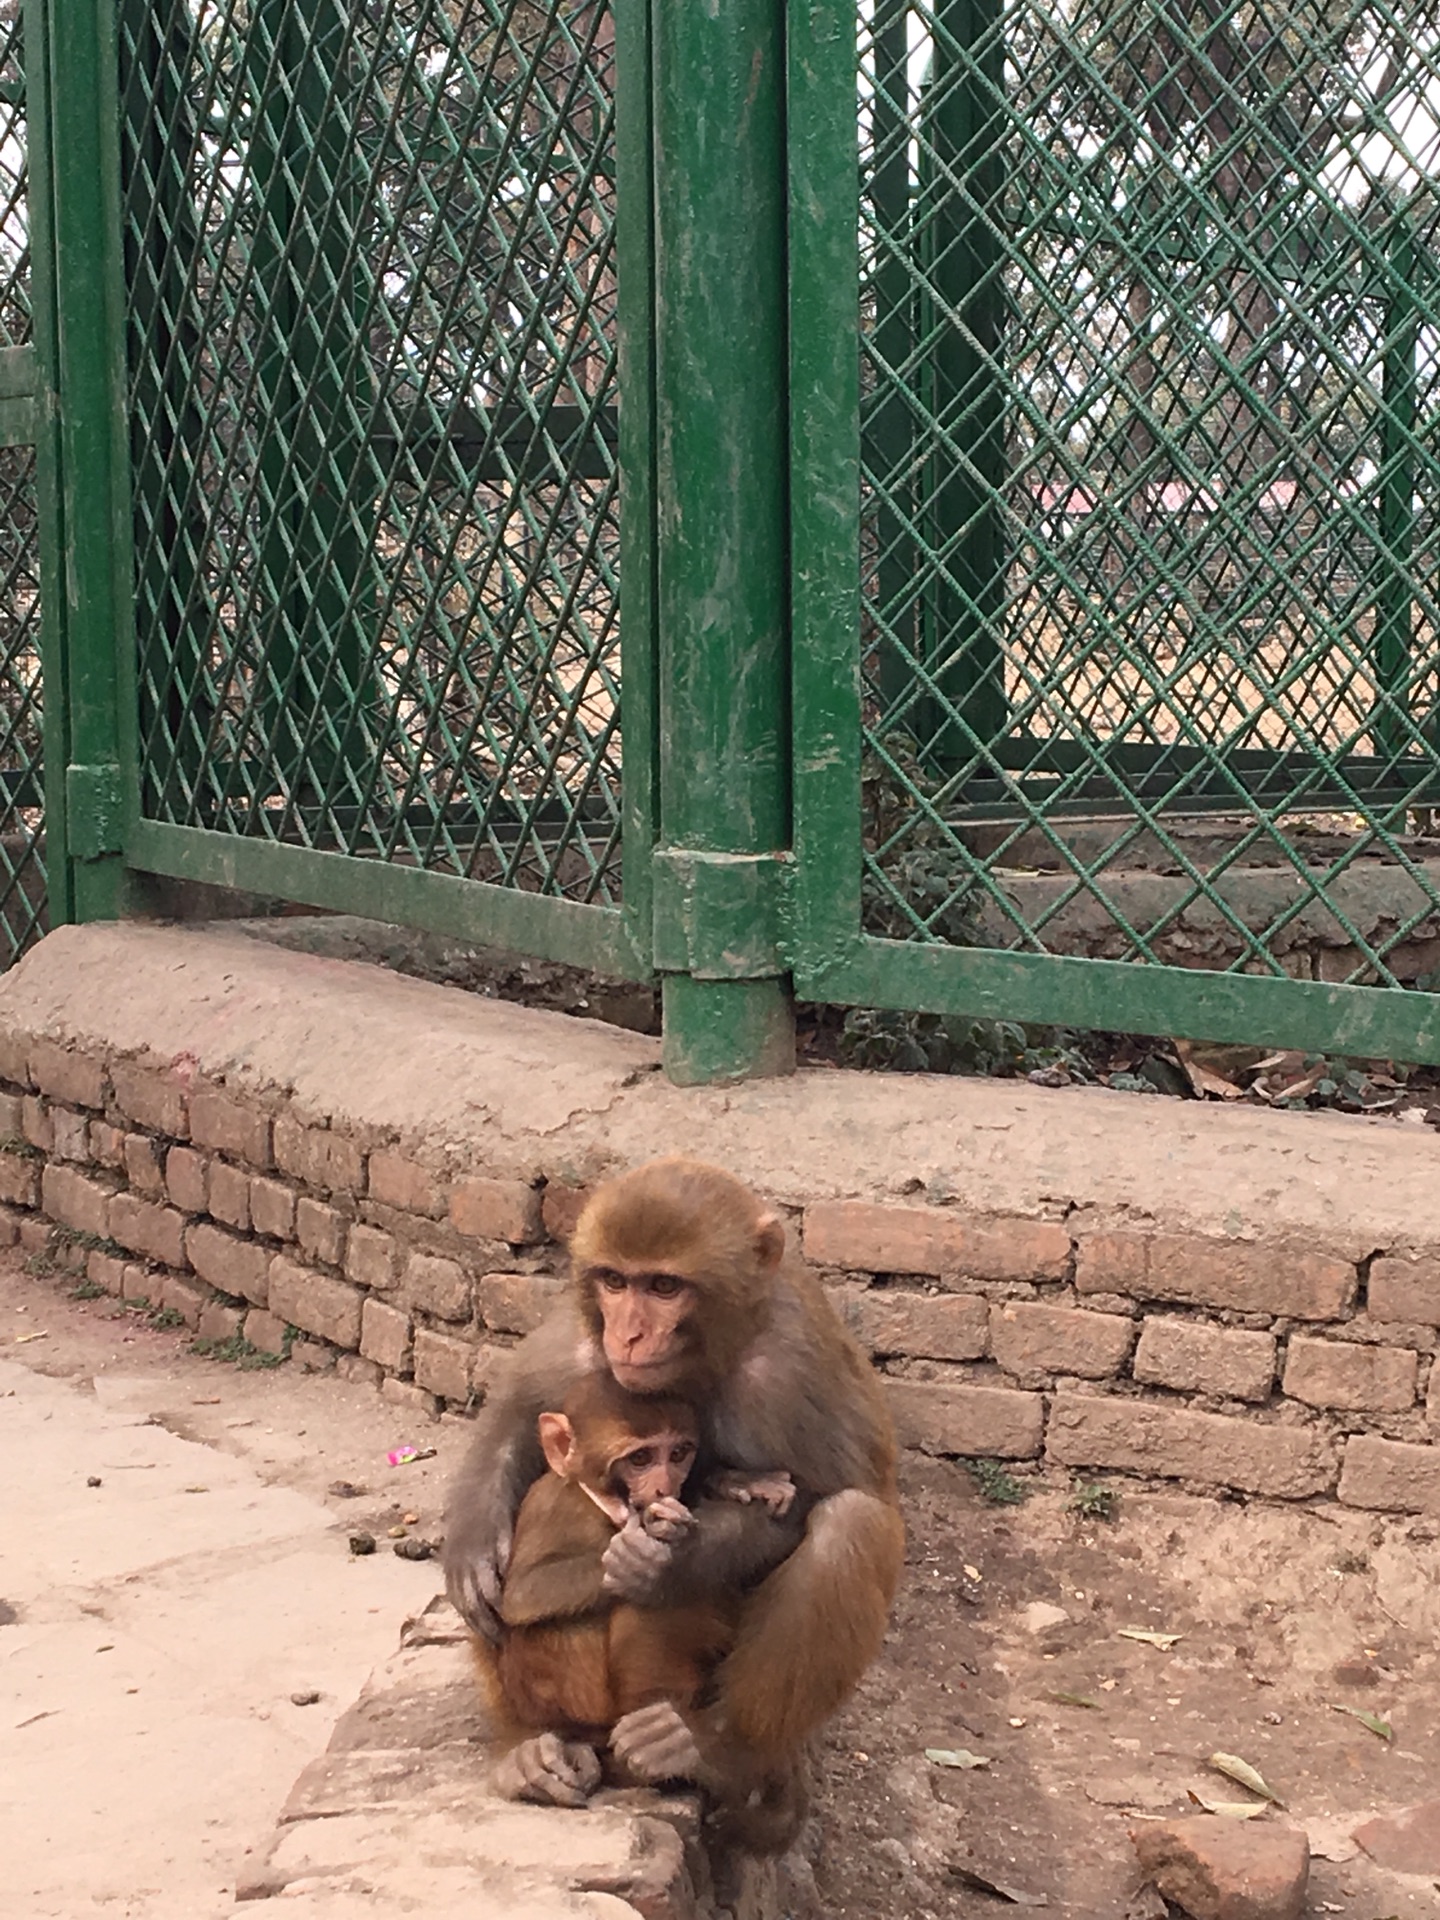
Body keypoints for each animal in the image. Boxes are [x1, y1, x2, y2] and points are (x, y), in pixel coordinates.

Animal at [491, 1374, 794, 1804]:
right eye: (640, 1459)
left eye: (679, 1453)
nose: (664, 1488)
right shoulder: (549, 1504)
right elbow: (521, 1594)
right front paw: (636, 1550)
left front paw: (741, 1483)